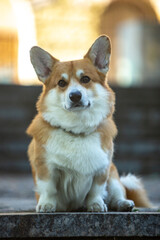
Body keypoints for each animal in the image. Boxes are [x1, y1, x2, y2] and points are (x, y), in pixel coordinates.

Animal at [26, 35, 151, 212]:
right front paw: (46, 205)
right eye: (61, 83)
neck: (76, 130)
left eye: (85, 79)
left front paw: (96, 204)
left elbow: (95, 190)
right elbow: (48, 188)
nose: (75, 96)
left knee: (117, 192)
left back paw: (123, 203)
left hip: (114, 175)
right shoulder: (46, 167)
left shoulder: (102, 169)